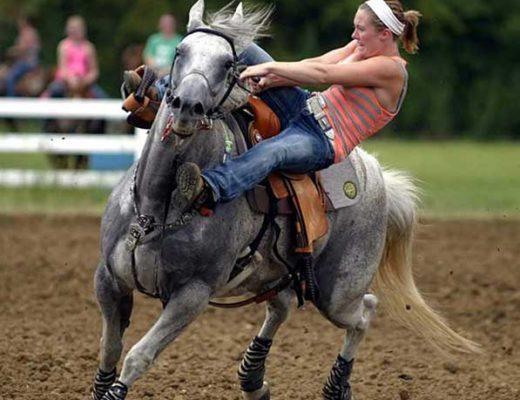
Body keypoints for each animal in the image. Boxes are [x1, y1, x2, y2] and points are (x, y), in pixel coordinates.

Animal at [90, 1, 480, 398]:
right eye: (179, 52)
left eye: (228, 64)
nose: (187, 106)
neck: (156, 207)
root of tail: (378, 176)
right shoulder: (107, 279)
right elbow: (110, 347)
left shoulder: (192, 294)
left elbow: (138, 355)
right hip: (277, 273)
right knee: (283, 306)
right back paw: (253, 378)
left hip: (338, 292)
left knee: (364, 312)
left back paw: (335, 386)